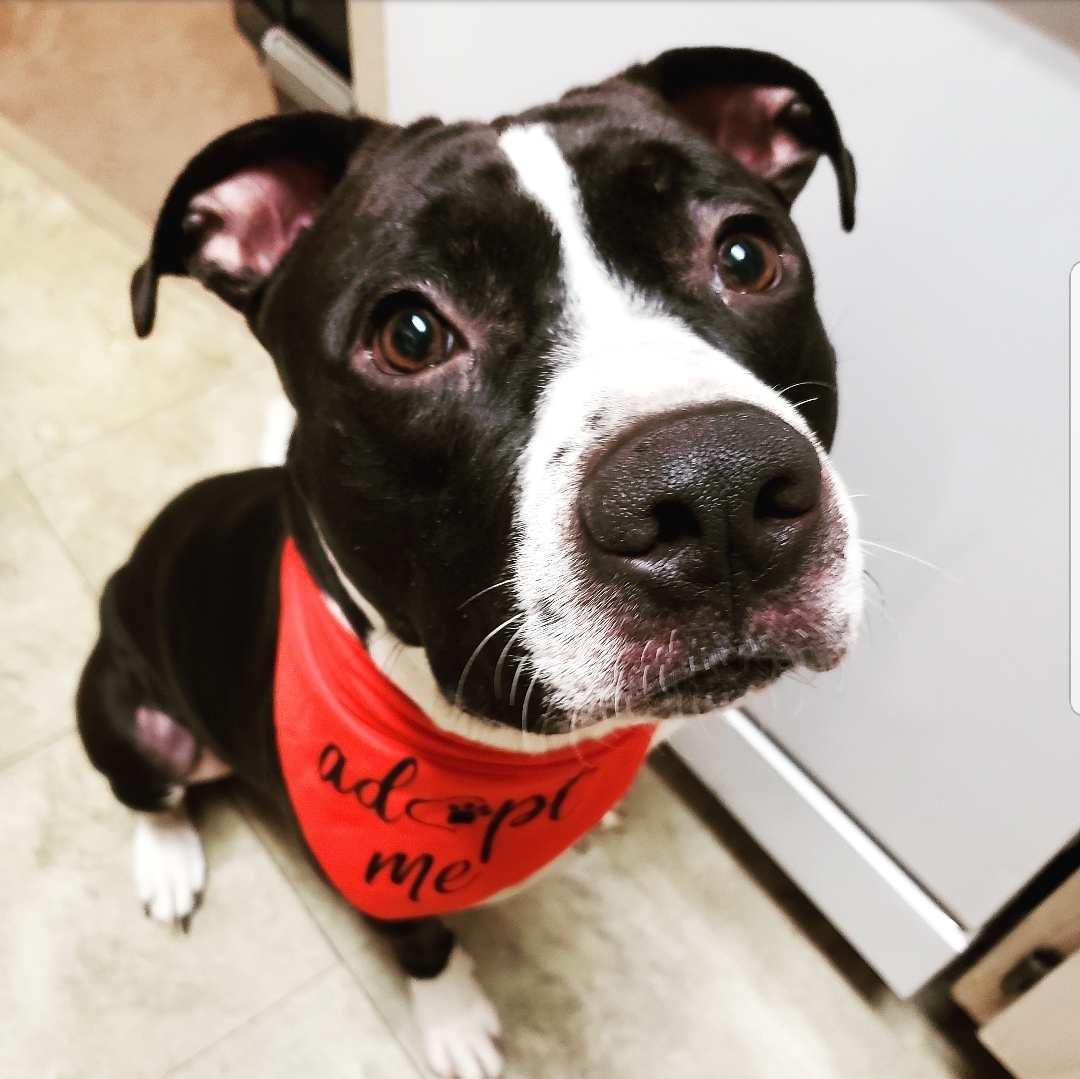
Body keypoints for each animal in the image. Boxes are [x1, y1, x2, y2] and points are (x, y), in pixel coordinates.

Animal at [78, 44, 859, 1079]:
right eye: (409, 333)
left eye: (745, 255)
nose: (718, 489)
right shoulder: (376, 873)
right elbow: (424, 938)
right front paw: (454, 1021)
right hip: (120, 710)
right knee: (150, 790)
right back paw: (167, 857)